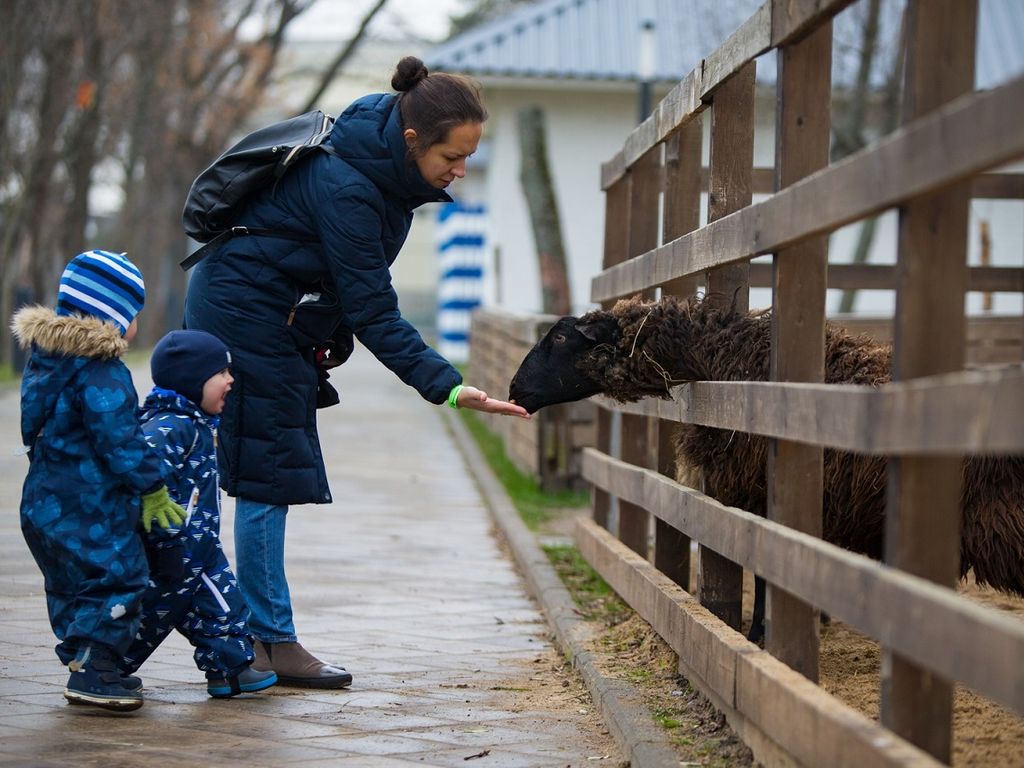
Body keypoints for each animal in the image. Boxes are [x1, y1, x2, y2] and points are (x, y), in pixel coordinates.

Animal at [507, 294, 1024, 643]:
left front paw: (760, 634)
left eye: (559, 337)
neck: (720, 362)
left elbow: (764, 572)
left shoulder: (762, 498)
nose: (514, 390)